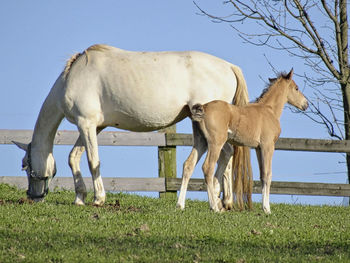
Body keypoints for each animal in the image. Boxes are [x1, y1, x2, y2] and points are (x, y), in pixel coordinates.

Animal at [13, 44, 252, 211]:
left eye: (25, 165)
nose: (32, 196)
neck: (73, 77)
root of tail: (228, 66)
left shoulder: (85, 123)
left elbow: (92, 161)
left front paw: (99, 199)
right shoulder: (94, 127)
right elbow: (74, 157)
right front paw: (79, 197)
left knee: (225, 154)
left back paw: (221, 200)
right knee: (227, 153)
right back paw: (223, 201)